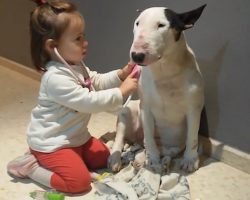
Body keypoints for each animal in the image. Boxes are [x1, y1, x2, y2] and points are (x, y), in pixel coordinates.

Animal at [108, 4, 206, 173]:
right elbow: (149, 137)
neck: (164, 70)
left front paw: (190, 160)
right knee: (123, 138)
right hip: (127, 111)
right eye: (137, 23)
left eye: (161, 25)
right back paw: (116, 159)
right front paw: (153, 159)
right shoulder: (146, 109)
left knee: (163, 149)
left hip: (173, 144)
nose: (136, 56)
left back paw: (142, 159)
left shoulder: (194, 109)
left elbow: (192, 137)